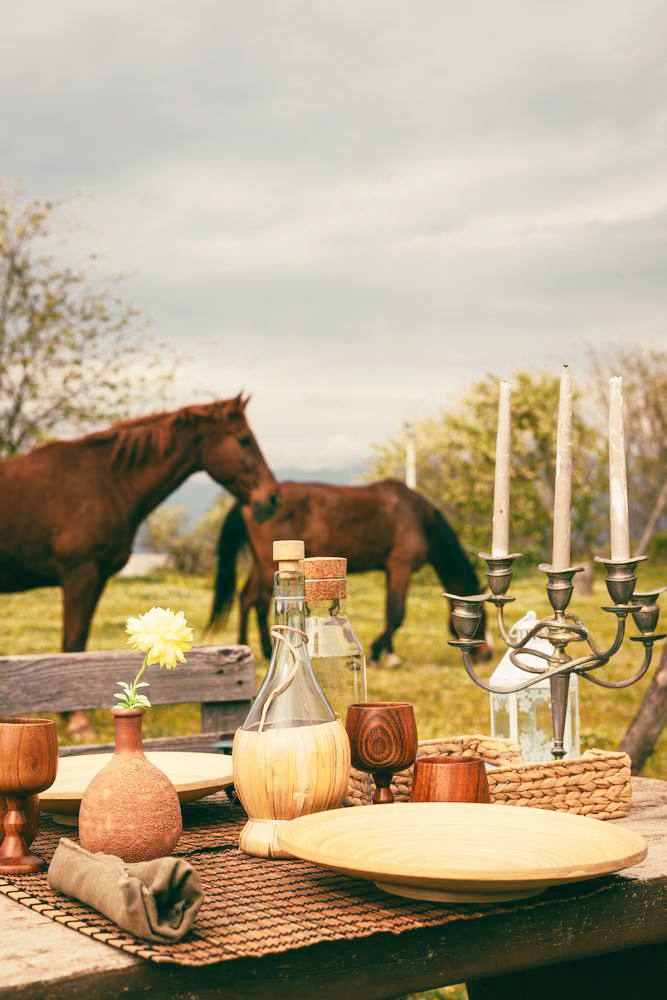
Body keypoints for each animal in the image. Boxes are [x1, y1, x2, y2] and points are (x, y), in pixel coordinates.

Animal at [0, 394, 278, 653]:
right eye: (244, 439)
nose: (272, 497)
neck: (104, 481)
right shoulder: (79, 576)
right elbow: (73, 644)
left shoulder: (95, 580)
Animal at [209, 478, 492, 665]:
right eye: (481, 620)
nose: (486, 654)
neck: (419, 517)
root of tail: (249, 499)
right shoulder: (401, 566)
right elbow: (397, 613)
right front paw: (379, 652)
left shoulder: (390, 570)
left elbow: (389, 610)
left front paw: (389, 653)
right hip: (269, 565)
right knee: (257, 600)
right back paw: (266, 652)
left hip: (263, 564)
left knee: (246, 597)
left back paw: (250, 647)